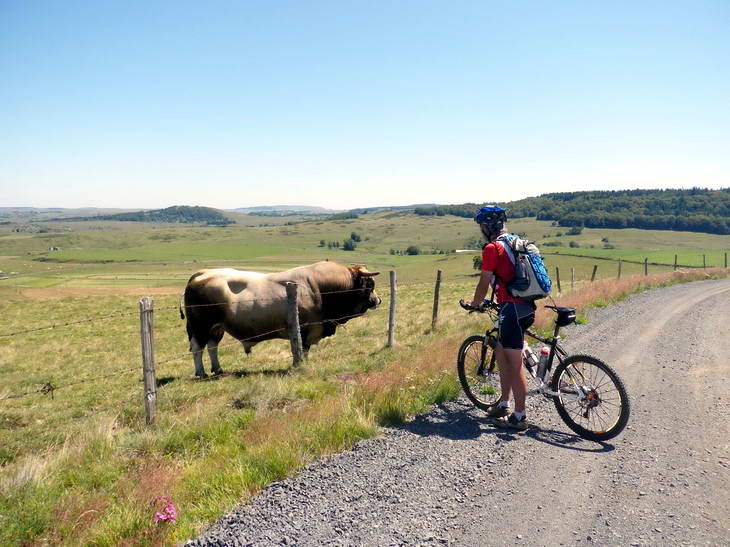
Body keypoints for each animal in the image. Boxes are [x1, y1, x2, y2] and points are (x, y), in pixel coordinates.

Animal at [179, 262, 378, 376]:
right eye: (369, 285)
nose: (378, 300)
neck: (320, 288)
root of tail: (202, 274)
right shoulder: (304, 329)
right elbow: (302, 348)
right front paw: (299, 364)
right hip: (200, 327)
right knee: (197, 348)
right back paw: (201, 372)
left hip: (216, 328)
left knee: (212, 346)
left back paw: (218, 369)